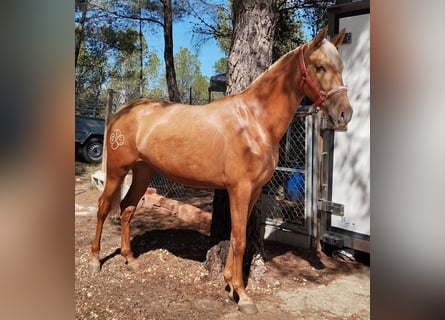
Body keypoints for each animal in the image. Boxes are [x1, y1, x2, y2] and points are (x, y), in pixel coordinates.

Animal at [90, 28, 352, 314]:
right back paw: (95, 260)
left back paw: (130, 258)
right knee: (103, 207)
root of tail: (123, 111)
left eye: (341, 67)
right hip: (117, 171)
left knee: (127, 207)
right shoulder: (240, 189)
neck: (254, 121)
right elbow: (239, 239)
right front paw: (243, 295)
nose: (345, 115)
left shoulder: (253, 190)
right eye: (320, 67)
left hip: (143, 172)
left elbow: (236, 236)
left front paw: (229, 284)